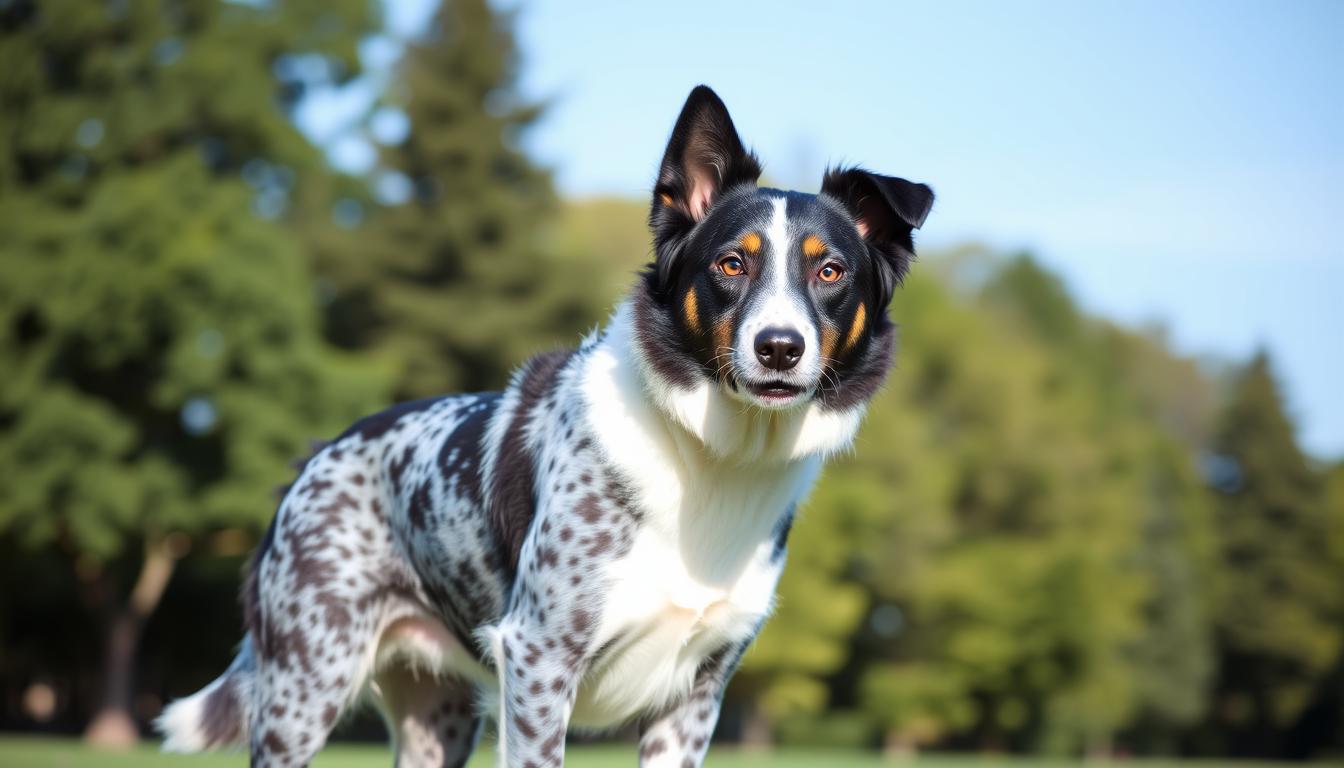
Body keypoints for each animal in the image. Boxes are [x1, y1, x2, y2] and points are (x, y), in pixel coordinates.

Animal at [154, 85, 935, 768]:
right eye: (731, 263)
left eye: (830, 272)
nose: (779, 347)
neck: (711, 458)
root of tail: (313, 460)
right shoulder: (538, 659)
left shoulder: (696, 695)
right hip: (304, 685)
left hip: (437, 717)